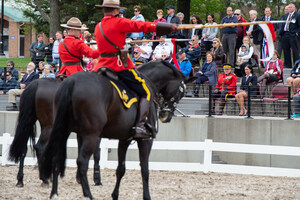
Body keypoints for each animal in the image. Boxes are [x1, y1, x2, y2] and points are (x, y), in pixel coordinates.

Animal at [39, 61, 192, 200]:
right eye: (181, 91)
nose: (166, 116)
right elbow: (145, 169)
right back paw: (88, 194)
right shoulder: (146, 141)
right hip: (90, 135)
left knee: (56, 158)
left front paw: (115, 195)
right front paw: (147, 196)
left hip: (63, 130)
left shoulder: (124, 140)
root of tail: (72, 81)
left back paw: (54, 193)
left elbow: (120, 169)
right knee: (82, 162)